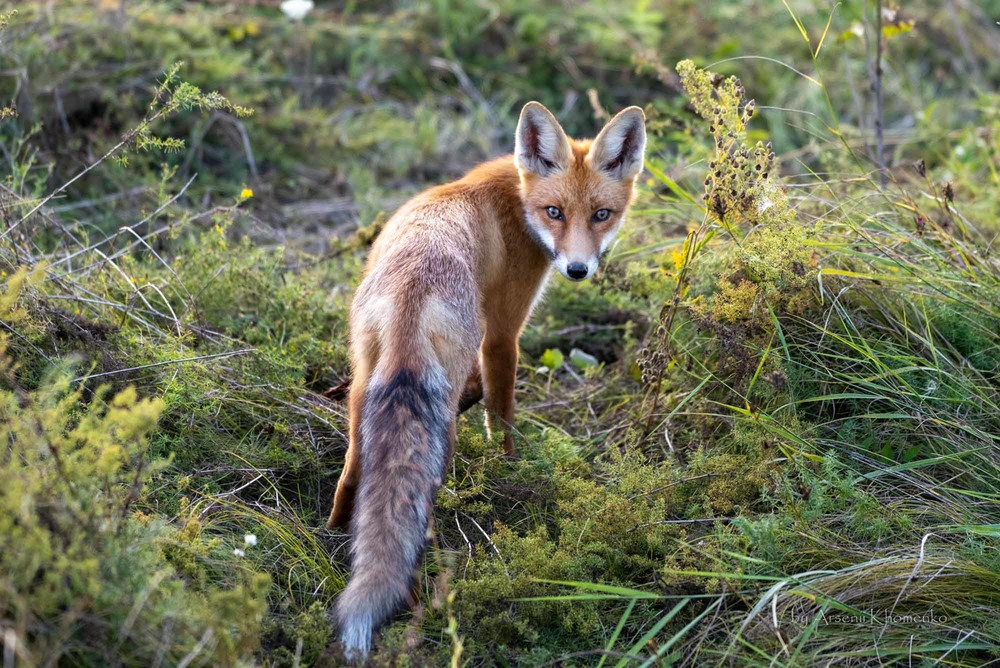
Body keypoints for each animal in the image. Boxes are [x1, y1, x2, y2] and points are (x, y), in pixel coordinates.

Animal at [324, 100, 644, 656]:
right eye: (555, 212)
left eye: (601, 214)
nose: (578, 269)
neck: (516, 199)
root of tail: (413, 291)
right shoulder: (502, 334)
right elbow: (502, 415)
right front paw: (511, 468)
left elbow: (480, 392)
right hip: (441, 422)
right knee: (419, 504)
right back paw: (416, 597)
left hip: (364, 391)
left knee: (354, 478)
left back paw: (336, 535)